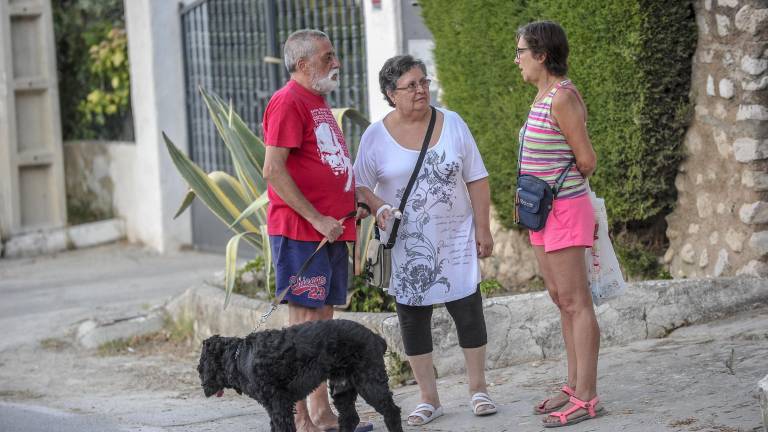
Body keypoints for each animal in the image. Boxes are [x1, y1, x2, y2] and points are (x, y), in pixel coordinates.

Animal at [196, 318, 402, 430]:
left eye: (201, 368)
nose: (203, 386)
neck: (238, 357)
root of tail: (376, 337)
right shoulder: (277, 407)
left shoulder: (279, 405)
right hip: (342, 387)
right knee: (350, 418)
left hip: (369, 382)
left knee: (391, 411)